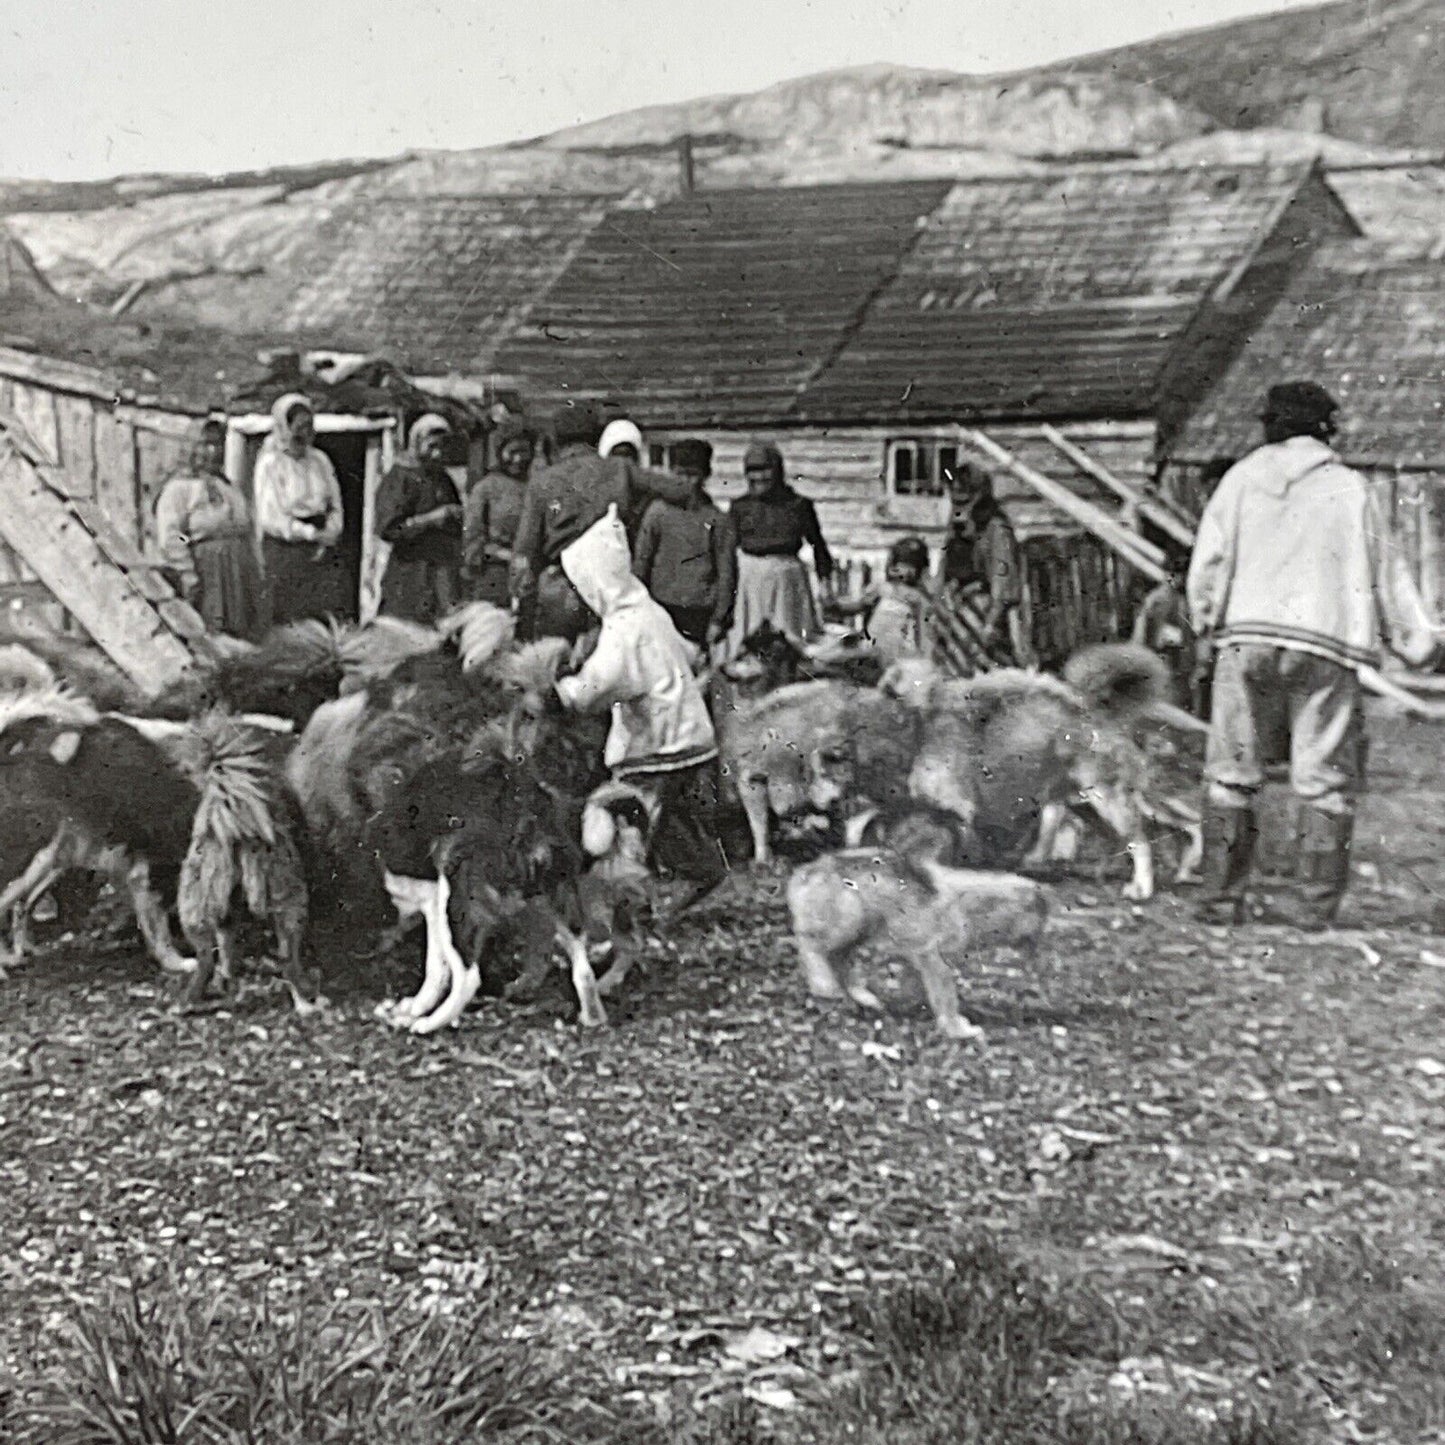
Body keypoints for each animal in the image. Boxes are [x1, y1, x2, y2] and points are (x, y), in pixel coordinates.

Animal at [786, 843, 1046, 1040]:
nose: (1037, 950)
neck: (971, 905)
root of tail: (805, 873)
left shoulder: (921, 955)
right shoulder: (930, 953)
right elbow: (944, 993)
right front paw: (957, 1029)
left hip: (861, 927)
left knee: (838, 958)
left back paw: (861, 996)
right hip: (849, 916)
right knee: (811, 944)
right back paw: (823, 985)